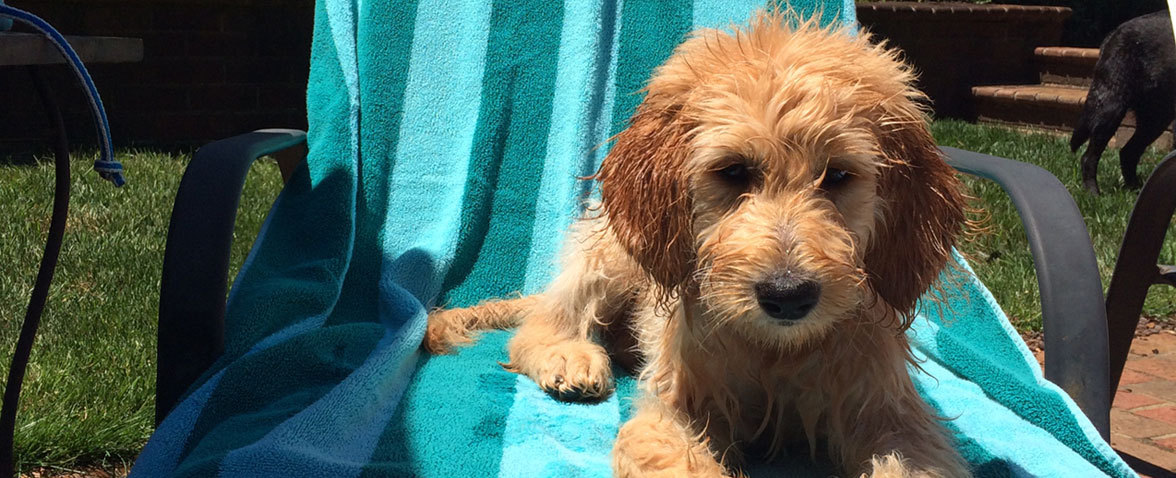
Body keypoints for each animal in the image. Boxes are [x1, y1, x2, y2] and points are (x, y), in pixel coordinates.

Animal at [428, 11, 969, 478]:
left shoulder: (894, 417)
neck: (774, 350)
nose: (787, 296)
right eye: (733, 171)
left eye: (837, 175)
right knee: (540, 325)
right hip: (610, 257)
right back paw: (570, 356)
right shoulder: (673, 414)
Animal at [1077, 10, 1176, 194]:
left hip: (1156, 118)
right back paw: (1093, 193)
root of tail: (1114, 32)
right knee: (1088, 157)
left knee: (1128, 152)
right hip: (1110, 108)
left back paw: (1135, 189)